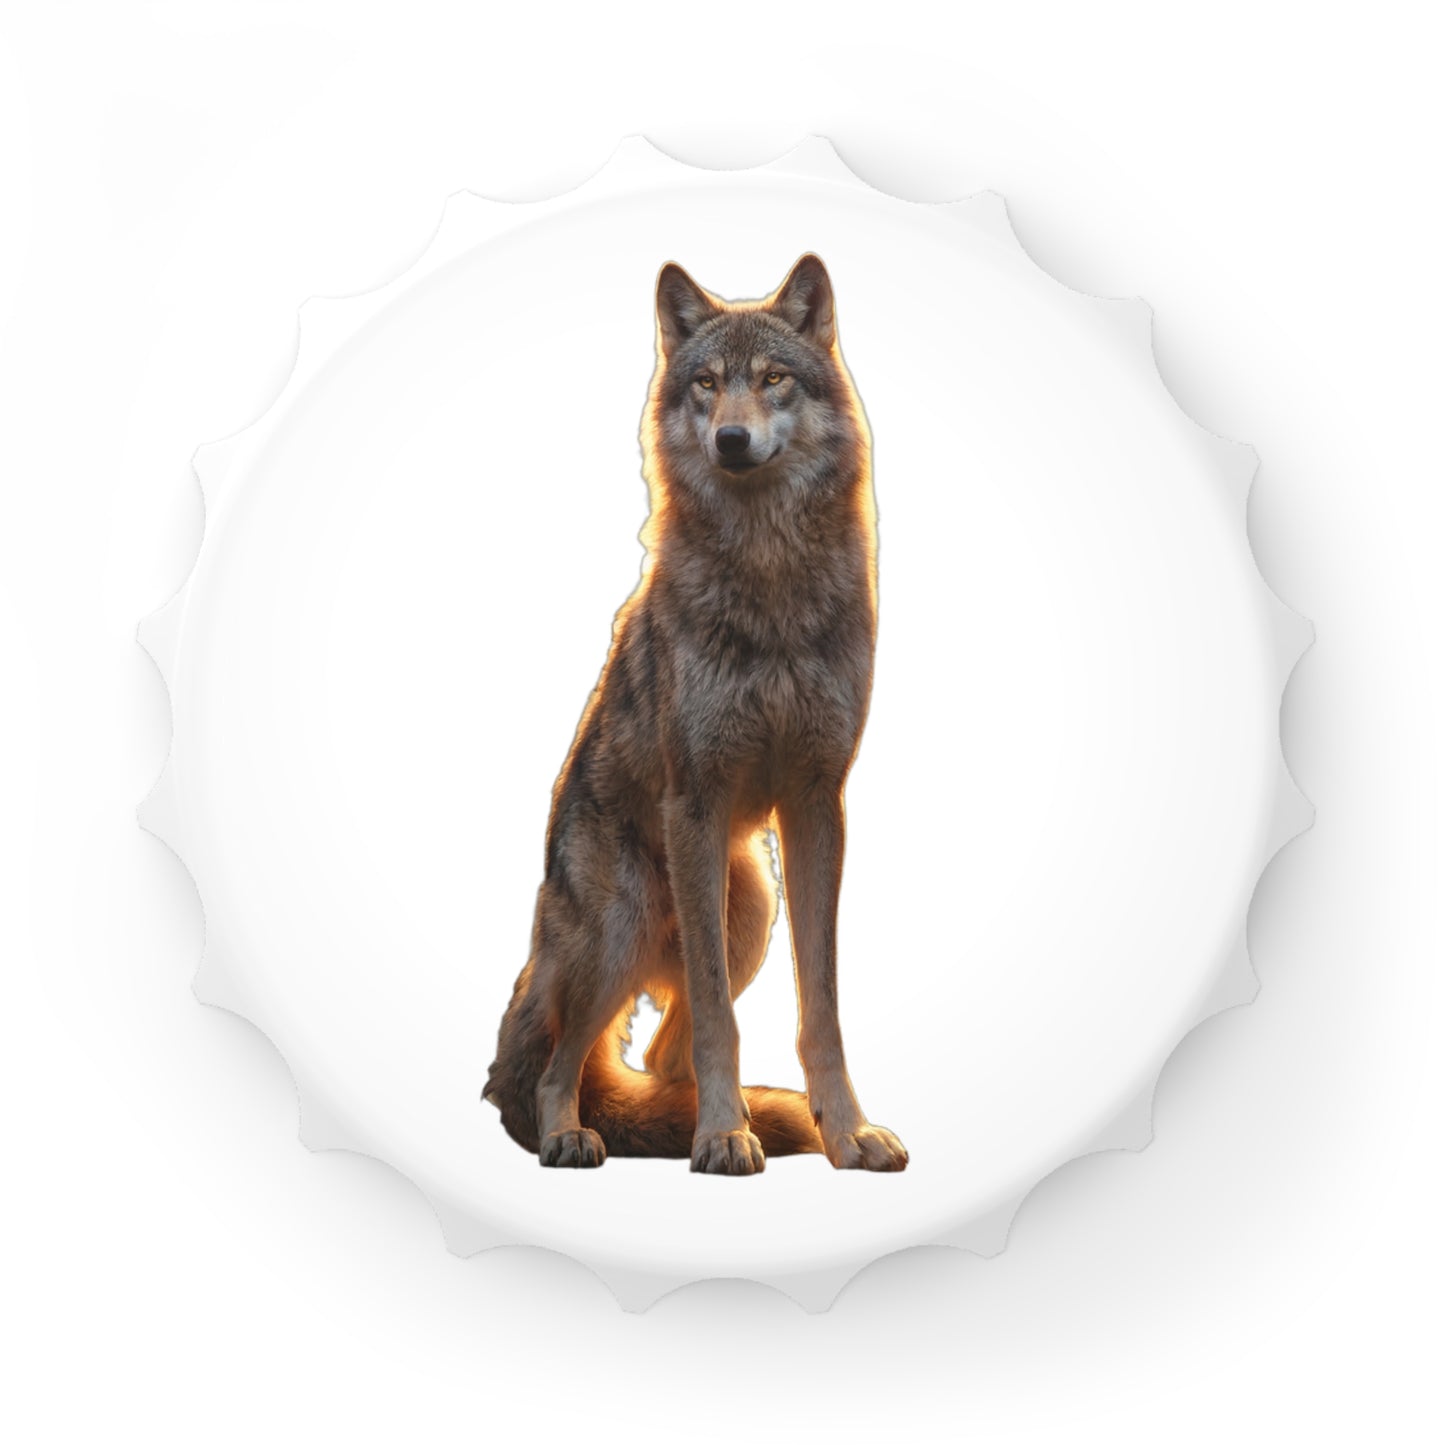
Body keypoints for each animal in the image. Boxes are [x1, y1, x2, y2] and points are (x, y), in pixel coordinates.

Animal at [482, 253, 907, 1174]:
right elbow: (718, 1016)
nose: (731, 441)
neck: (769, 575)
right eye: (706, 383)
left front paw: (845, 1133)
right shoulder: (697, 800)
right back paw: (575, 1133)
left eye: (773, 379)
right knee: (559, 1061)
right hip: (624, 924)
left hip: (748, 908)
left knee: (657, 1052)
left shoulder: (817, 801)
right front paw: (720, 1136)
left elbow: (820, 1006)